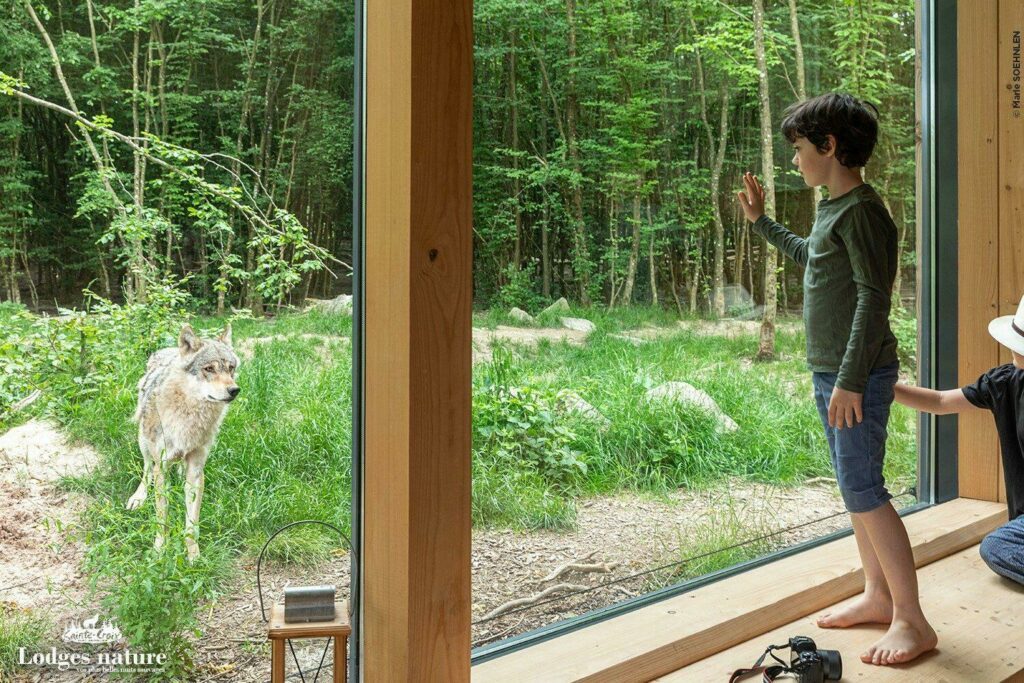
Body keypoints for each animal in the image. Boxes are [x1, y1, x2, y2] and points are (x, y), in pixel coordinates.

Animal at [126, 325, 238, 561]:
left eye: (230, 368)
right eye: (209, 369)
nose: (234, 390)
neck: (189, 416)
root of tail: (167, 349)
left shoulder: (196, 469)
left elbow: (191, 524)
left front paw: (194, 556)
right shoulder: (161, 468)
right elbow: (162, 518)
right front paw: (160, 551)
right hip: (144, 441)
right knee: (146, 469)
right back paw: (138, 497)